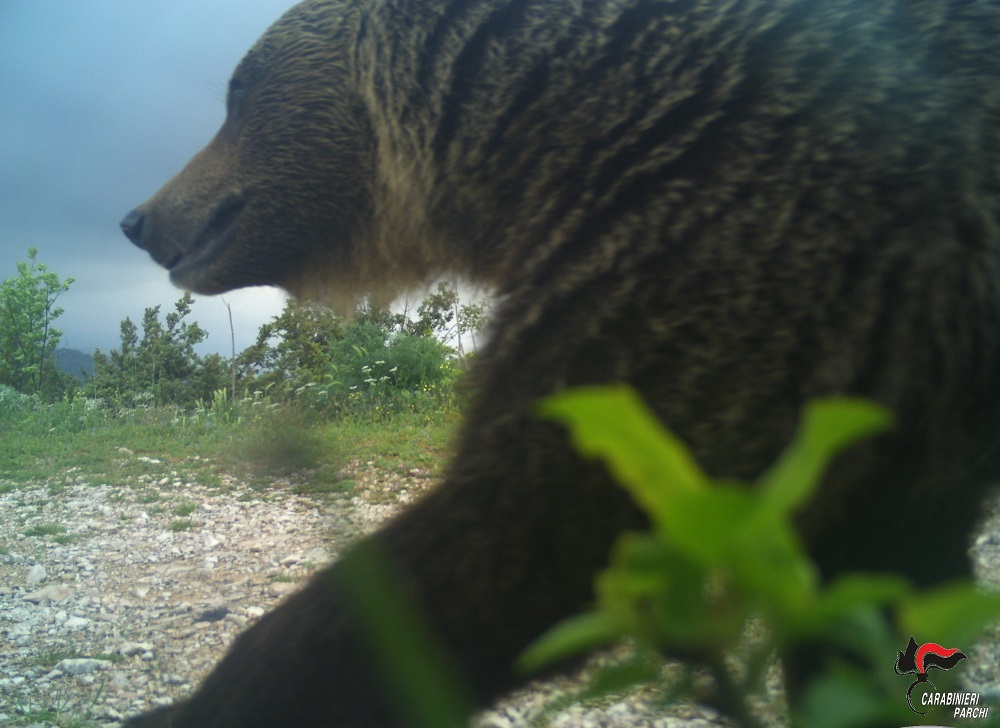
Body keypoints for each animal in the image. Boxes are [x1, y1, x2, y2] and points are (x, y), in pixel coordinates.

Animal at [120, 0, 1000, 725]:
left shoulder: (726, 250)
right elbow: (873, 591)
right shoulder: (893, 397)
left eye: (238, 91)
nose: (138, 217)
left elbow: (527, 524)